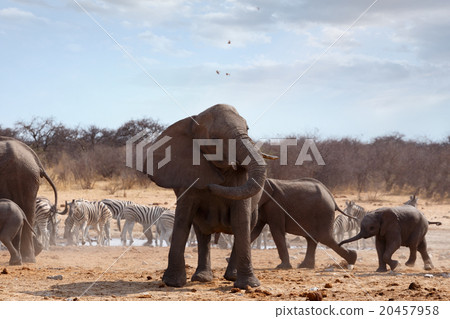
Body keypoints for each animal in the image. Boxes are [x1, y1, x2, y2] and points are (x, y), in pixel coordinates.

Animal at [140, 105, 268, 290]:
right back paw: (202, 278)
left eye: (248, 128)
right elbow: (182, 219)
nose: (212, 185)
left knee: (246, 225)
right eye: (214, 137)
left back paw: (231, 277)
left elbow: (240, 219)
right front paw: (172, 283)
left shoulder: (241, 177)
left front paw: (248, 285)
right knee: (201, 232)